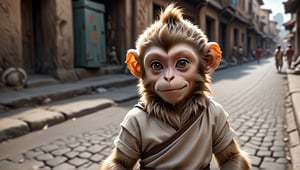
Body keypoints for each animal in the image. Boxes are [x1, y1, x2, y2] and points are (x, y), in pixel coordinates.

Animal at [101, 3, 251, 170]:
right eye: (156, 65)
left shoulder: (219, 113)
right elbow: (119, 162)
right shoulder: (131, 121)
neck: (177, 111)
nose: (168, 77)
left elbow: (232, 156)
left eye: (182, 63)